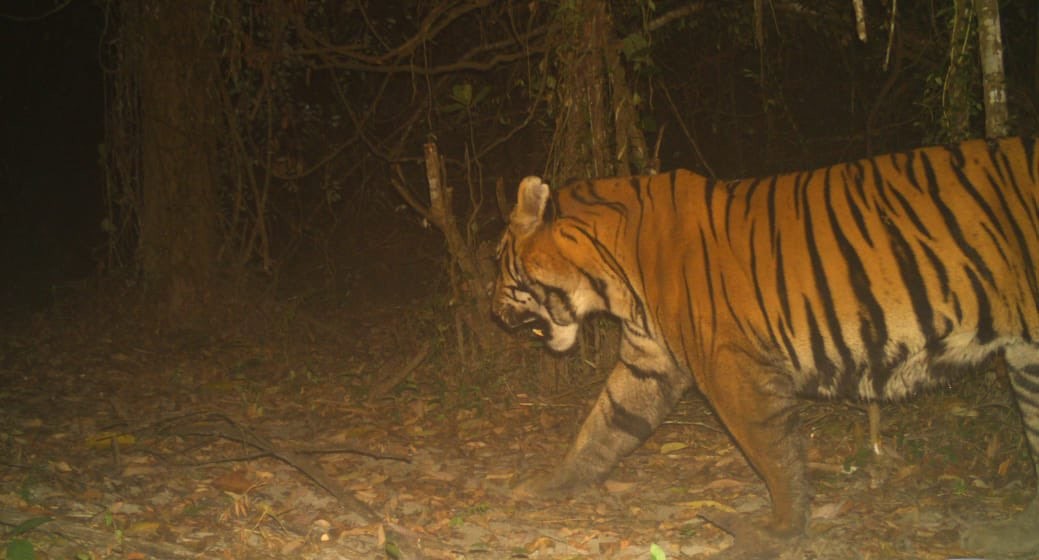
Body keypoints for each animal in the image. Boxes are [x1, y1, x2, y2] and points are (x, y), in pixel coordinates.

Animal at [492, 137, 1039, 557]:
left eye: (500, 262)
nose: (492, 312)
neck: (611, 277)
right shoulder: (650, 363)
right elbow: (604, 426)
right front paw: (549, 484)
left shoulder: (731, 368)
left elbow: (774, 454)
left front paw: (780, 530)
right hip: (1028, 358)